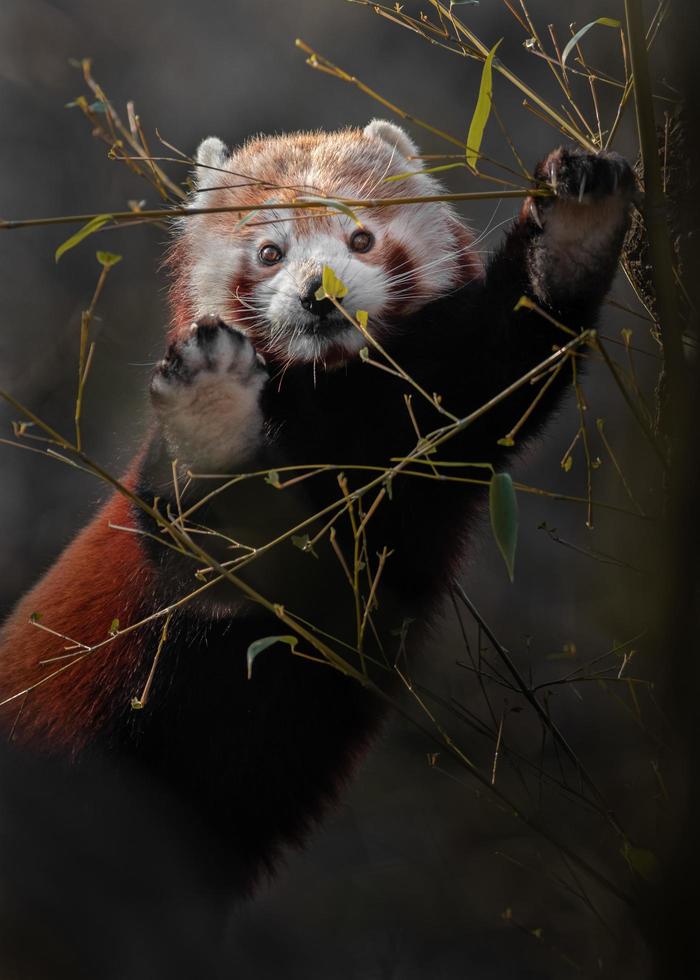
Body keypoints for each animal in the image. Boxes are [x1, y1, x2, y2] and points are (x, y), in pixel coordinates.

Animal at [0, 120, 636, 904]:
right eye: (271, 252)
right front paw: (212, 414)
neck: (330, 401)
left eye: (360, 238)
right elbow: (212, 561)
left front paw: (573, 231)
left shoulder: (422, 428)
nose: (318, 294)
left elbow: (509, 353)